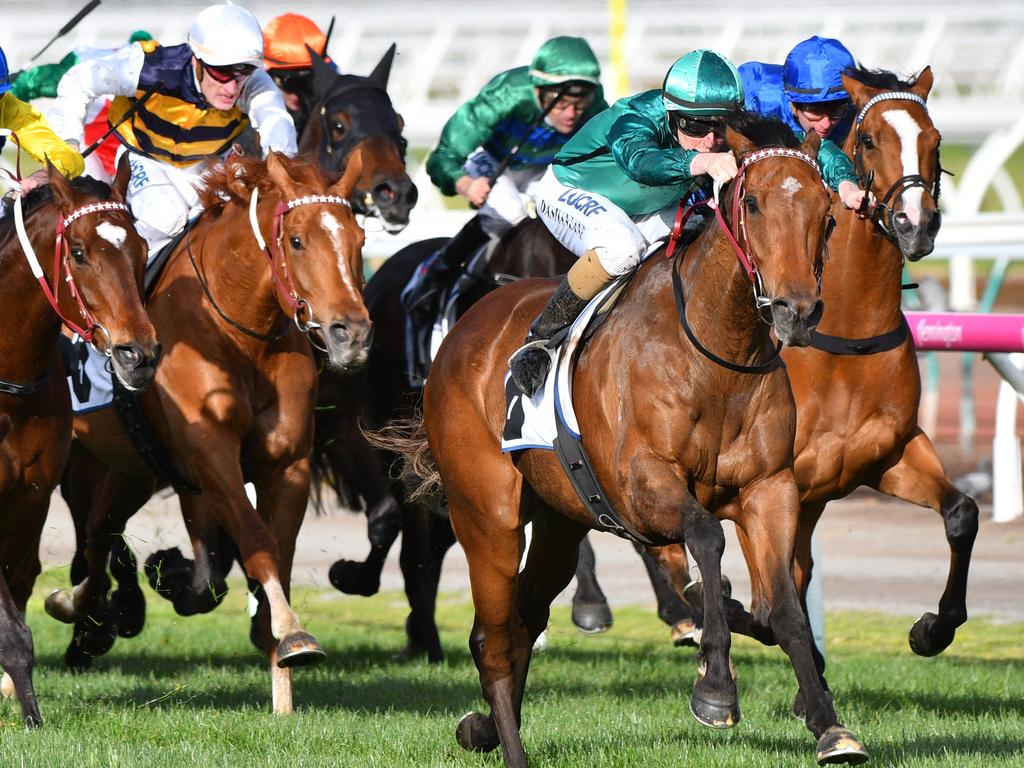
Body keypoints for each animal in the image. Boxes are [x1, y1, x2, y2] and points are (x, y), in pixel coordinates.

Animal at [46, 153, 372, 720]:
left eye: (360, 238)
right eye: (297, 240)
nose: (350, 334)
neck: (239, 333)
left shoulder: (284, 463)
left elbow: (247, 567)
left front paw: (276, 661)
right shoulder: (212, 457)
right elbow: (258, 543)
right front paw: (291, 633)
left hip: (129, 465)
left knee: (97, 533)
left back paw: (84, 613)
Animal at [411, 118, 868, 765]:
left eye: (827, 215)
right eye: (752, 202)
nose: (795, 310)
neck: (716, 354)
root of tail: (463, 328)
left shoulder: (769, 489)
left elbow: (781, 606)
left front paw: (829, 724)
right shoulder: (641, 485)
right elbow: (706, 537)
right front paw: (716, 689)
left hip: (558, 520)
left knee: (525, 617)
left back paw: (483, 726)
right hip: (486, 514)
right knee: (493, 635)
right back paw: (508, 744)